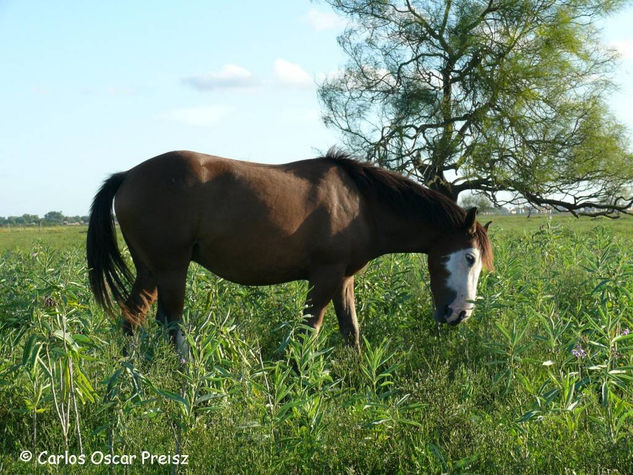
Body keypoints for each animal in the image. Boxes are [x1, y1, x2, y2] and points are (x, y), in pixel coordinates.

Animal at [86, 151, 492, 356]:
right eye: (469, 258)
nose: (459, 315)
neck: (361, 204)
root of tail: (127, 175)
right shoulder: (324, 276)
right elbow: (308, 331)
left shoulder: (343, 279)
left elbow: (351, 331)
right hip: (172, 269)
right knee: (171, 324)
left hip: (150, 270)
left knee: (133, 318)